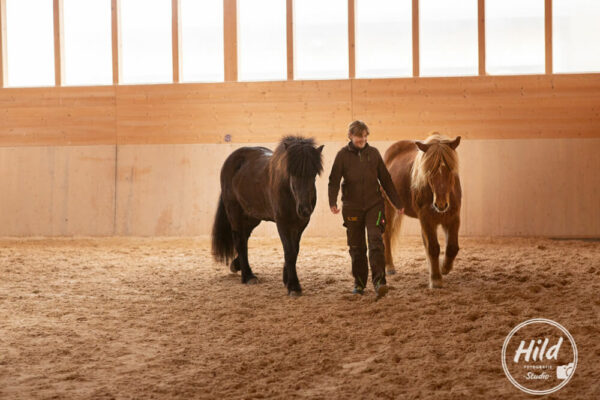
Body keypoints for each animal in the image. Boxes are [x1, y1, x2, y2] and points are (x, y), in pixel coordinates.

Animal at [211, 136, 324, 296]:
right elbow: (289, 251)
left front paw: (287, 279)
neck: (289, 192)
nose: (304, 210)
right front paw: (294, 286)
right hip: (235, 213)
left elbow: (294, 250)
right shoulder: (283, 223)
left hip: (252, 217)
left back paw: (237, 265)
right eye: (292, 173)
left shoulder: (300, 224)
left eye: (313, 174)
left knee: (244, 238)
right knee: (239, 240)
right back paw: (248, 276)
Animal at [382, 134, 462, 288]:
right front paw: (436, 279)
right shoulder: (427, 219)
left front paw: (444, 268)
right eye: (429, 170)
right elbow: (433, 248)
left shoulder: (453, 218)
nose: (441, 204)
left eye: (450, 169)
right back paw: (389, 266)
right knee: (387, 234)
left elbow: (452, 247)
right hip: (388, 207)